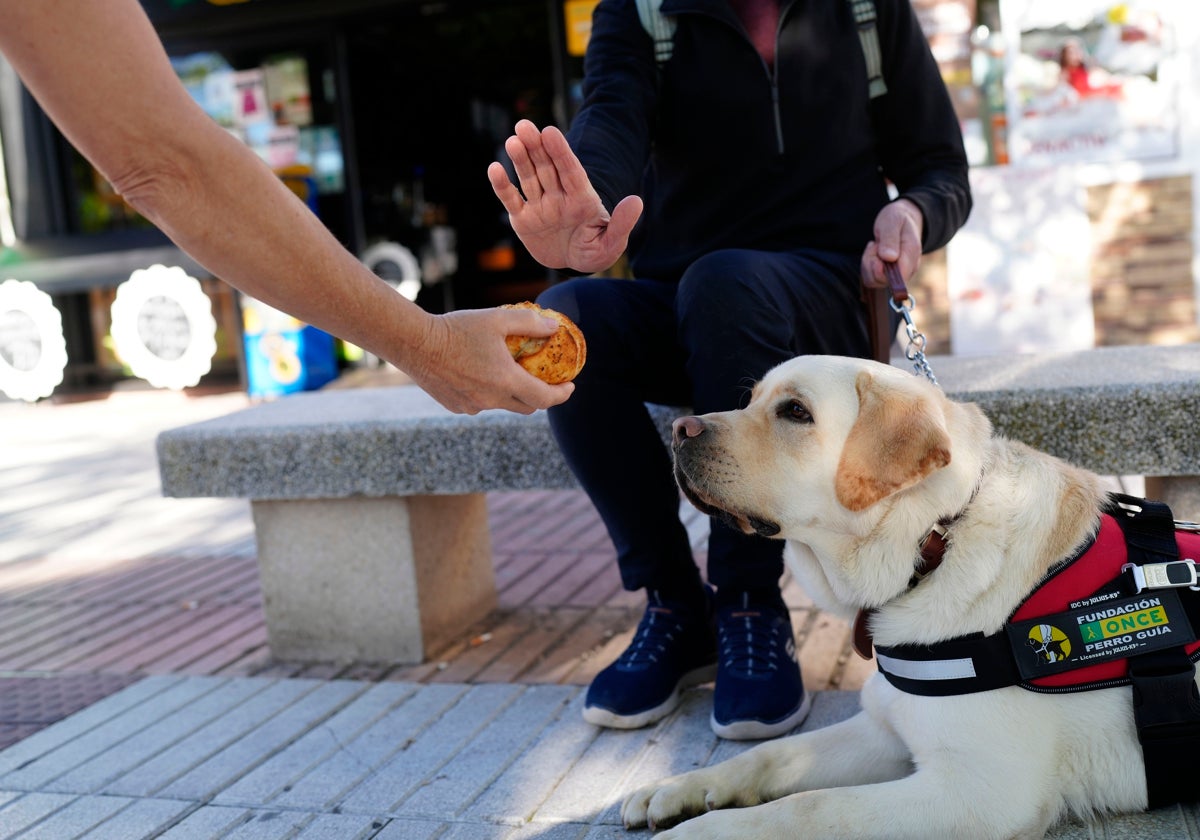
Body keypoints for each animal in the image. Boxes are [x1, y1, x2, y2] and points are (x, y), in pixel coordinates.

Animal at [619, 355, 1190, 840]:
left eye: (795, 411)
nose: (680, 430)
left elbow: (811, 808)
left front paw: (701, 832)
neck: (932, 545)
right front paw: (676, 787)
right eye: (751, 399)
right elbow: (771, 755)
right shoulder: (883, 728)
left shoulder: (980, 793)